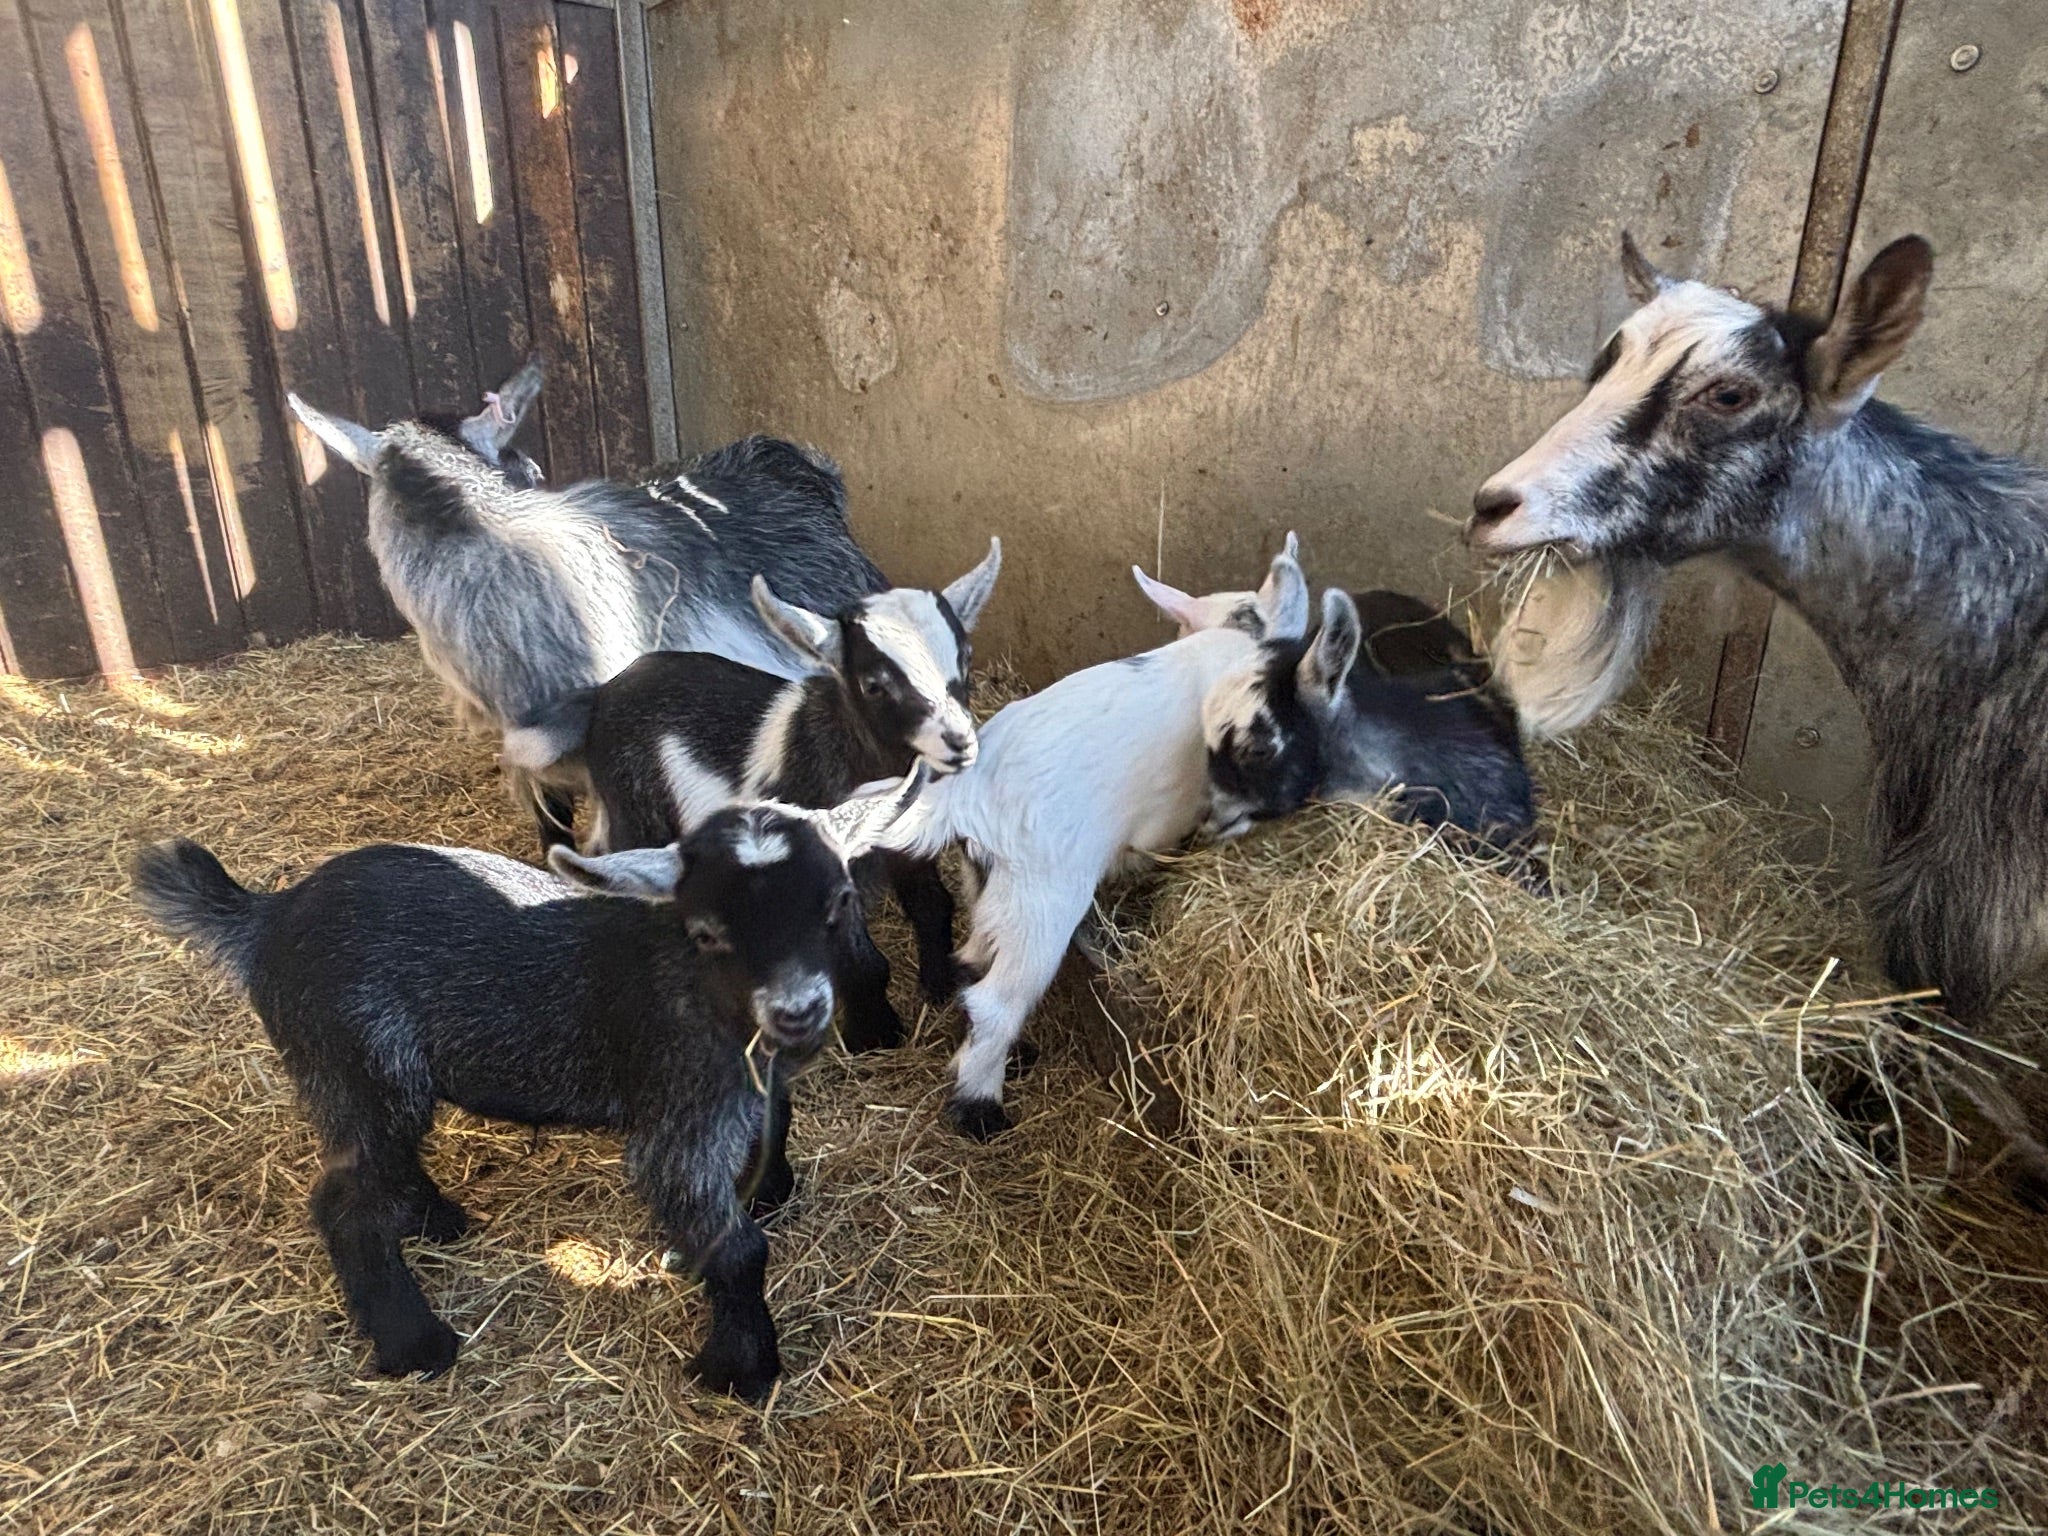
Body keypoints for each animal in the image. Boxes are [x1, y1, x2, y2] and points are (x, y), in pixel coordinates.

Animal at [130, 772, 924, 1398]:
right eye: (706, 931)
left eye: (839, 902)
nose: (798, 1011)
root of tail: (267, 919)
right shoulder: (676, 1119)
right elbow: (736, 1248)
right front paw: (741, 1370)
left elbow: (774, 1131)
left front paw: (767, 1191)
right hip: (356, 1063)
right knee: (343, 1203)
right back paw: (416, 1344)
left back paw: (434, 1220)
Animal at [508, 545, 1004, 1045]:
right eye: (874, 685)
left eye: (965, 659)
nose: (960, 742)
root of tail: (601, 695)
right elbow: (859, 960)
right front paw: (874, 1036)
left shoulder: (906, 852)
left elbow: (932, 907)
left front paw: (941, 987)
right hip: (634, 806)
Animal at [881, 540, 1310, 1139]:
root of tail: (964, 795)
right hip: (1043, 898)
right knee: (995, 1001)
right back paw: (984, 1113)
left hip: (986, 882)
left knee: (972, 957)